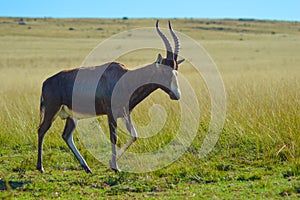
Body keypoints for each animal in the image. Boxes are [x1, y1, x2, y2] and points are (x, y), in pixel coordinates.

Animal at [36, 20, 184, 173]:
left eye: (176, 70)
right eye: (165, 71)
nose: (176, 95)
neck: (124, 77)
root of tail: (46, 82)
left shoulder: (125, 114)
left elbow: (134, 135)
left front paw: (111, 163)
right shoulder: (111, 114)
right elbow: (114, 137)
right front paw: (115, 167)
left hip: (72, 116)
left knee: (66, 135)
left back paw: (86, 167)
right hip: (52, 111)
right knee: (42, 130)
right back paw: (41, 167)